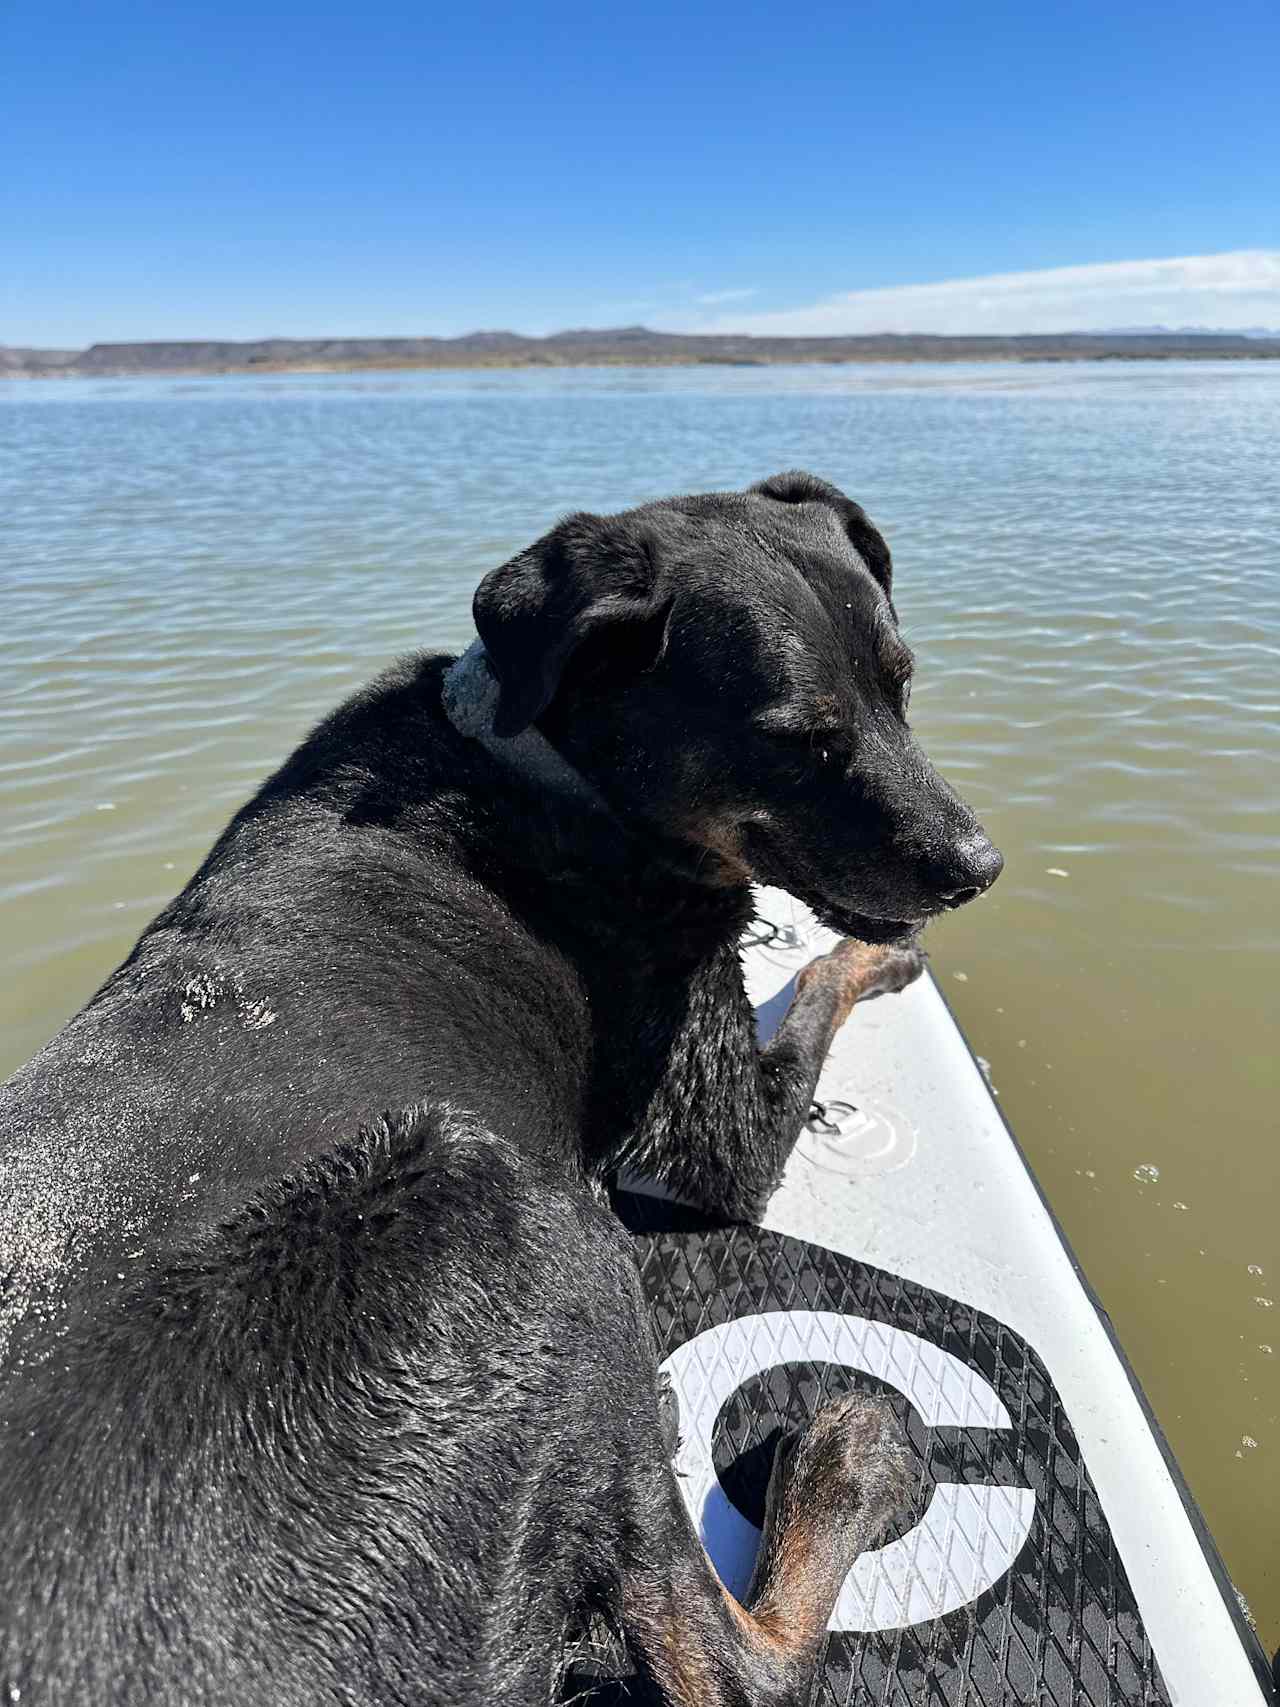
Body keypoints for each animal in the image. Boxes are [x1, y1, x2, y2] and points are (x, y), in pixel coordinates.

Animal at [0, 471, 1003, 1707]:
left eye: (902, 687)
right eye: (799, 743)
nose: (978, 867)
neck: (542, 754)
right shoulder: (710, 1117)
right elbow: (819, 983)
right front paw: (878, 957)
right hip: (516, 1220)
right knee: (732, 1664)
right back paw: (849, 1460)